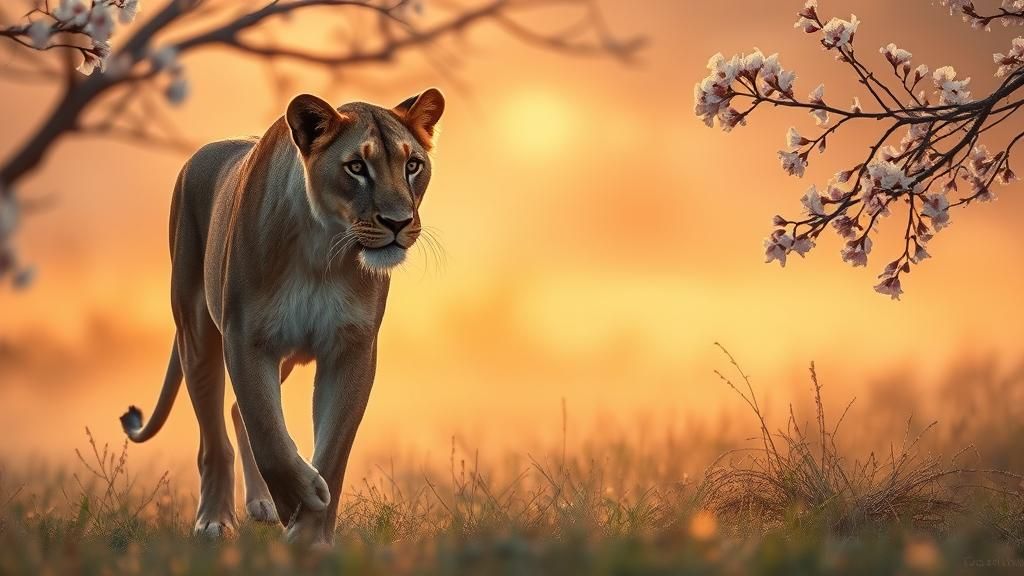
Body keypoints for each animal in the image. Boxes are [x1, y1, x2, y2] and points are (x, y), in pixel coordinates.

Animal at [119, 89, 445, 546]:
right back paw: (215, 521)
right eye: (356, 167)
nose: (398, 223)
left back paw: (263, 504)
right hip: (196, 331)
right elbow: (268, 434)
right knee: (215, 436)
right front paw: (301, 498)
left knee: (236, 412)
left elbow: (333, 448)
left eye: (412, 164)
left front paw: (310, 533)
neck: (323, 248)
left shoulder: (352, 348)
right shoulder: (246, 338)